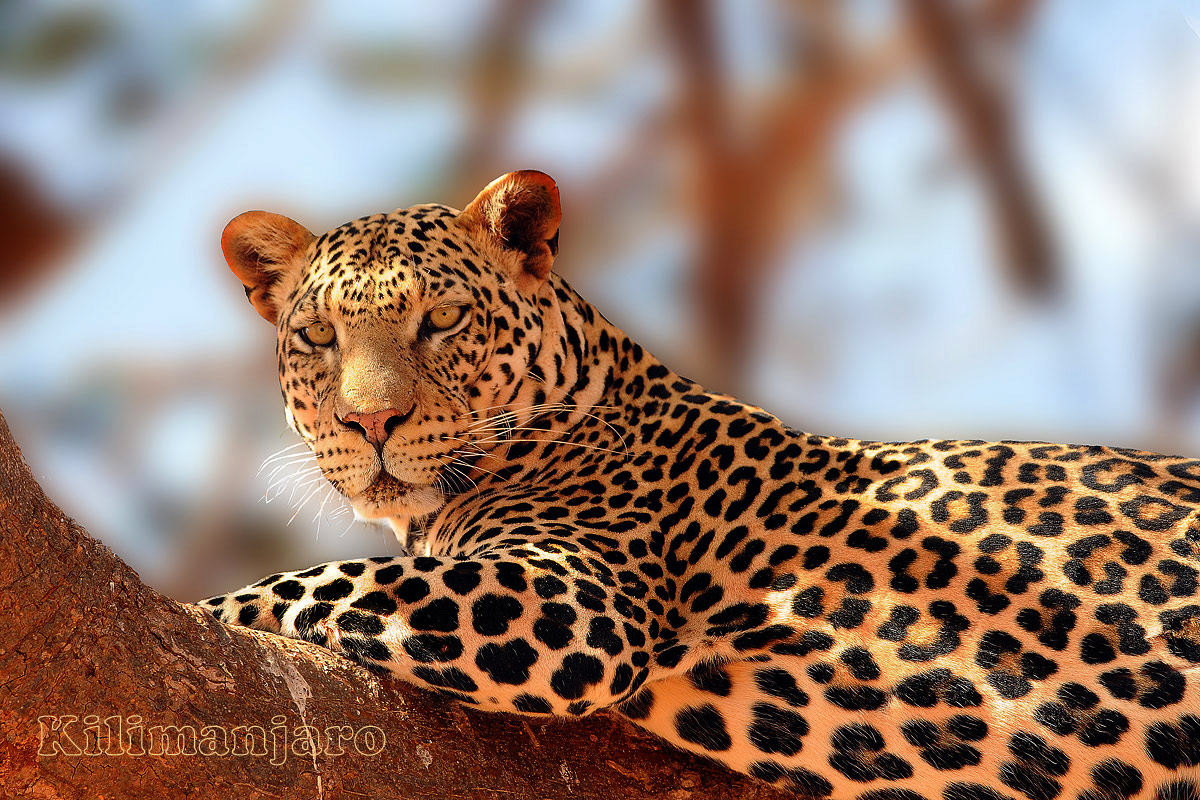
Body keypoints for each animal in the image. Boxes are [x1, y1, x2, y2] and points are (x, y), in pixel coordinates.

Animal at [204, 170, 1200, 799]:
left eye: (443, 319)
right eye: (319, 337)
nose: (371, 423)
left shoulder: (575, 600)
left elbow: (315, 582)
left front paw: (210, 608)